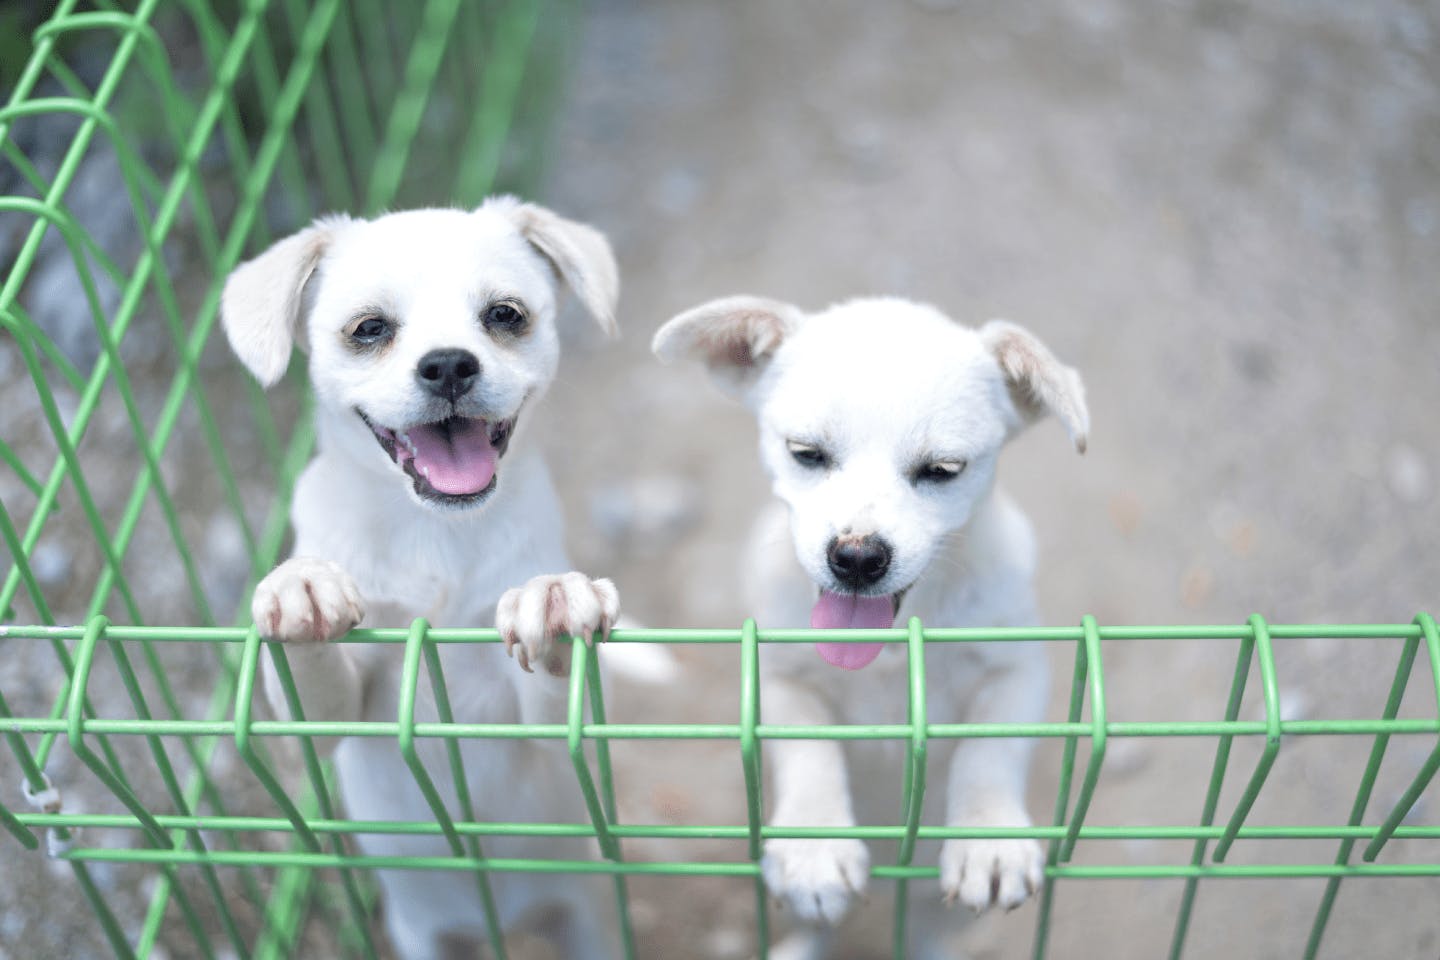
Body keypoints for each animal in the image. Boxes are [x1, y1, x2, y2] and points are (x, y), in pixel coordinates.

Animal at [221, 197, 639, 960]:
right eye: (369, 329)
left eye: (505, 314)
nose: (447, 365)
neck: (435, 535)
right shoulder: (333, 719)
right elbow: (309, 683)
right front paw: (300, 588)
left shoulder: (548, 729)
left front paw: (553, 599)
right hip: (425, 936)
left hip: (589, 923)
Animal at [656, 296, 1088, 955]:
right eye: (806, 453)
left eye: (943, 469)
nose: (857, 558)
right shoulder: (782, 681)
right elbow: (809, 749)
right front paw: (815, 847)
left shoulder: (1017, 668)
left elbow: (991, 750)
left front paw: (989, 839)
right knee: (821, 924)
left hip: (936, 906)